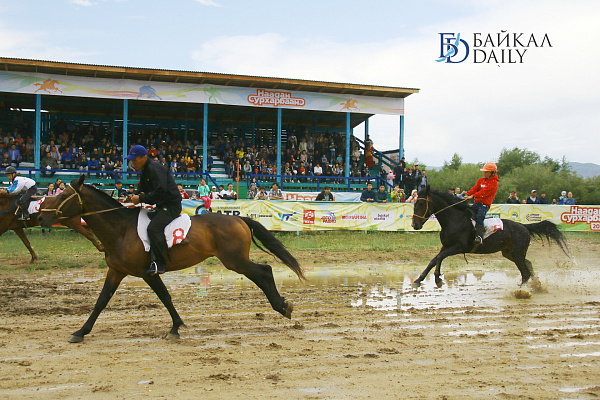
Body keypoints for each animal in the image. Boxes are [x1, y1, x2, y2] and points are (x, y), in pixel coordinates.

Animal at [37, 175, 305, 343]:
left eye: (63, 195)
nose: (41, 215)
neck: (121, 229)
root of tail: (238, 218)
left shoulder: (147, 272)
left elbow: (164, 297)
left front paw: (175, 327)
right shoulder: (116, 270)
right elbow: (101, 301)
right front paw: (81, 331)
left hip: (235, 260)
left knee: (264, 271)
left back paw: (282, 306)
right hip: (235, 260)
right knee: (263, 272)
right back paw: (282, 306)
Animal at [410, 186, 568, 288]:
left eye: (421, 203)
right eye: (414, 202)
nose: (414, 224)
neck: (454, 219)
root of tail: (524, 227)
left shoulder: (458, 247)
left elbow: (439, 258)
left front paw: (437, 278)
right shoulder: (446, 246)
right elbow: (434, 260)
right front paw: (419, 279)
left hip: (517, 253)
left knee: (525, 272)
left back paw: (521, 291)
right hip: (510, 253)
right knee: (528, 264)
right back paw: (536, 285)